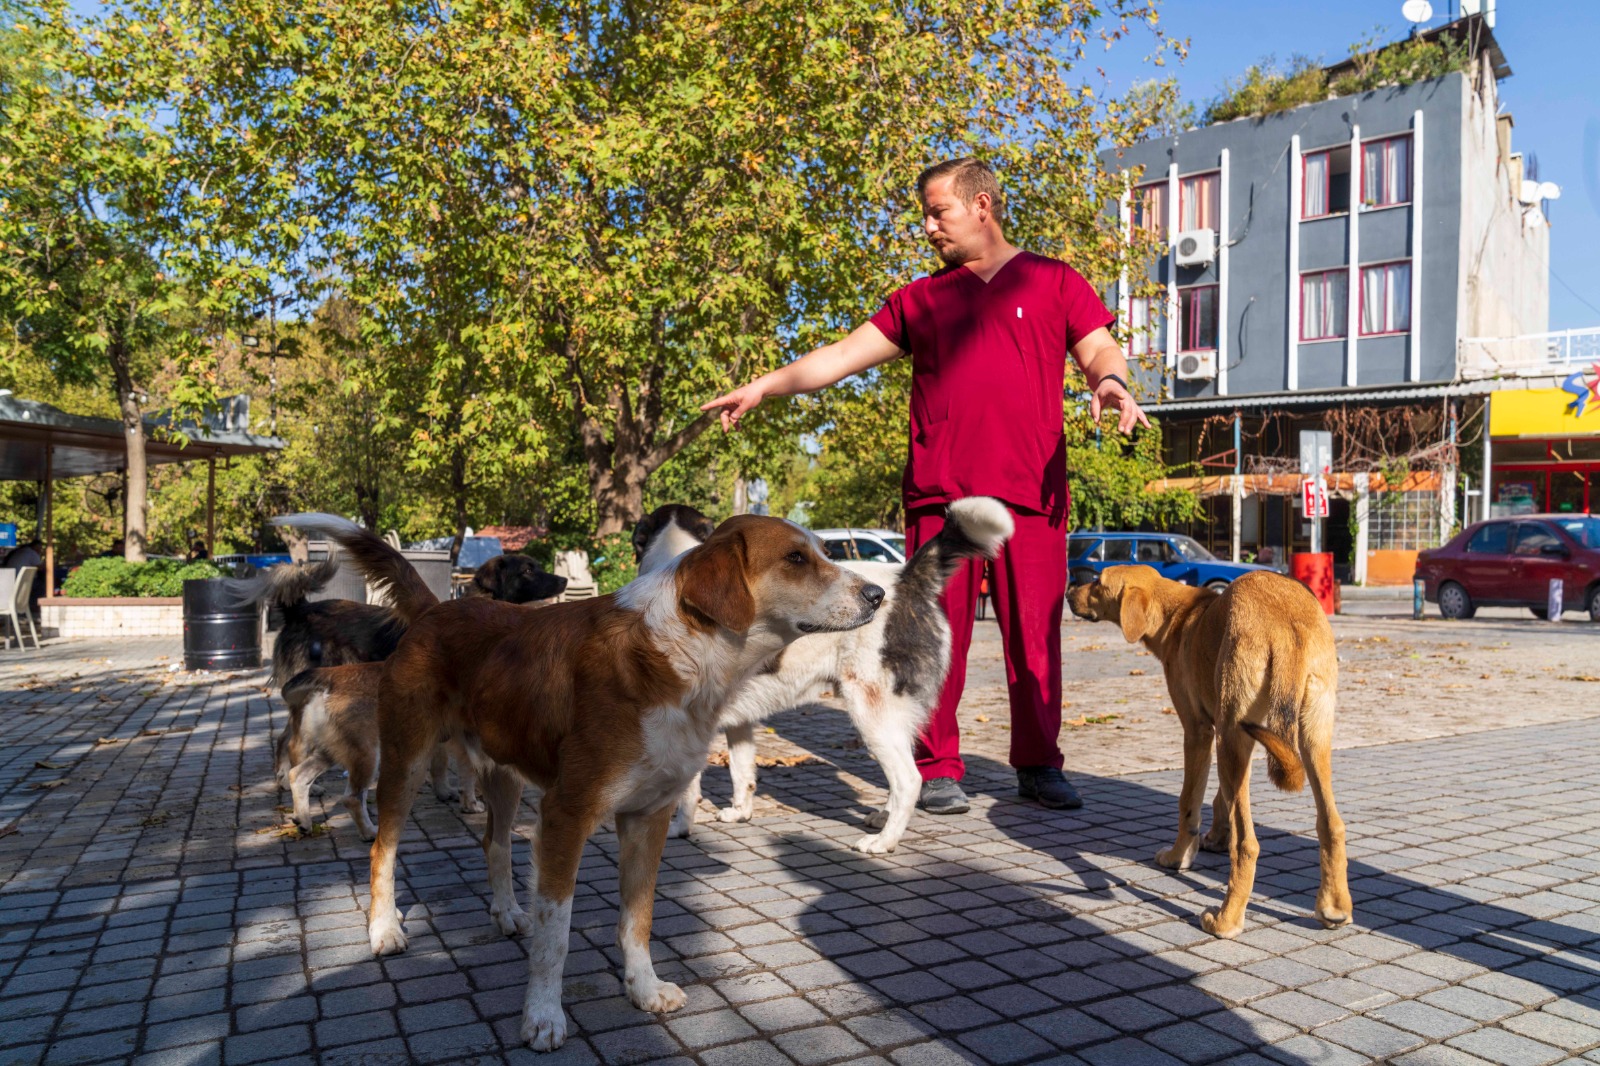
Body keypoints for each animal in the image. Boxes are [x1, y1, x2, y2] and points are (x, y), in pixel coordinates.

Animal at [288, 512, 889, 1049]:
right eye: (795, 559)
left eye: (822, 551)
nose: (878, 595)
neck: (682, 654)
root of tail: (440, 609)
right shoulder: (567, 814)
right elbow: (556, 935)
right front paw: (543, 1017)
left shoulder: (649, 816)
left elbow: (637, 919)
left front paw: (643, 989)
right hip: (405, 762)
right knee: (384, 849)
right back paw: (383, 929)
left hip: (505, 775)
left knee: (494, 843)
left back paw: (506, 911)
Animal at [636, 499, 1011, 857]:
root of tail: (906, 578)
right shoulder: (738, 722)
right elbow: (742, 771)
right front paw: (740, 811)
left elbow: (686, 793)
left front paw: (680, 828)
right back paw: (883, 818)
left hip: (871, 711)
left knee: (908, 779)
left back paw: (884, 841)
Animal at [1068, 560, 1344, 934]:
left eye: (1097, 582)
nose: (1068, 592)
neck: (1180, 615)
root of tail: (1287, 620)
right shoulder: (1246, 741)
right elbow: (1222, 798)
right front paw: (1215, 835)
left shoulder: (1199, 732)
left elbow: (1189, 803)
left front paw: (1179, 857)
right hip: (1309, 738)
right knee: (1332, 824)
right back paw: (1335, 908)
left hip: (1233, 734)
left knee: (1248, 843)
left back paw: (1226, 920)